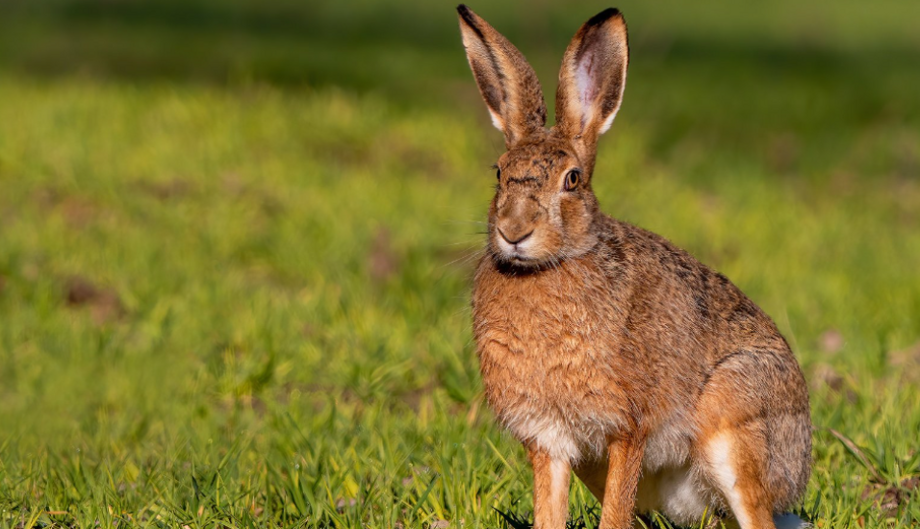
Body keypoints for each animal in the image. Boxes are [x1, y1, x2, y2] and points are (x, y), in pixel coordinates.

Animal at [456, 5, 812, 529]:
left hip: (736, 419)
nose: (514, 231)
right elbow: (550, 511)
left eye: (572, 180)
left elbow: (614, 513)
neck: (551, 265)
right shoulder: (549, 438)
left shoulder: (628, 427)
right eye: (499, 172)